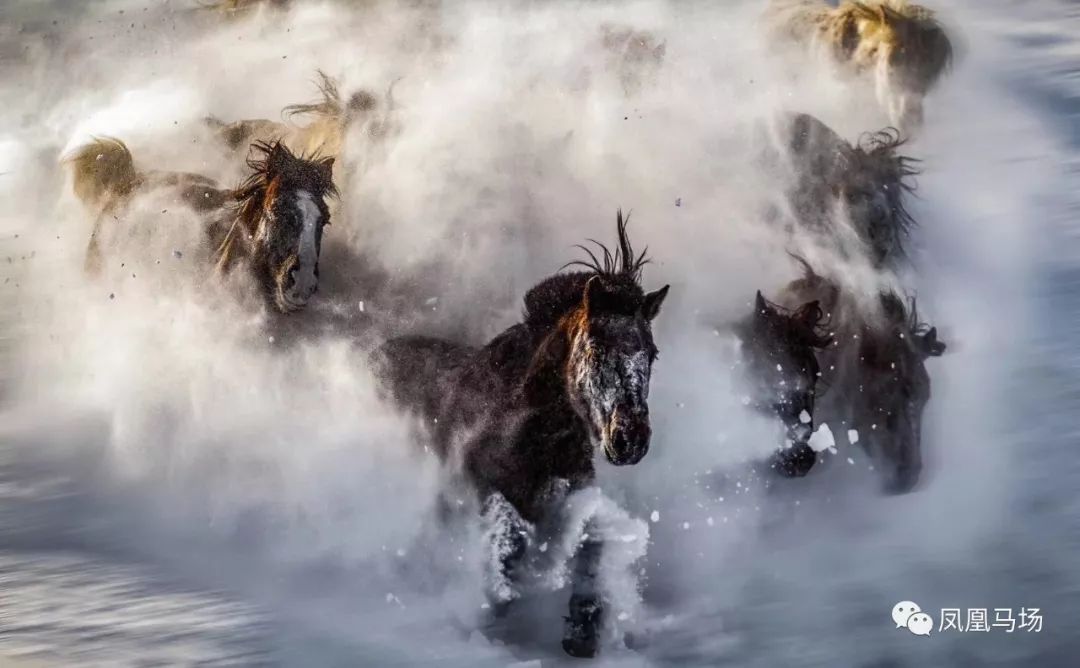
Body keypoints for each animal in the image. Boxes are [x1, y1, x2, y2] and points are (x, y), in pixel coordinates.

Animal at [375, 212, 669, 660]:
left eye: (650, 354)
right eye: (596, 348)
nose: (630, 438)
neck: (528, 425)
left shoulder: (569, 499)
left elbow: (591, 544)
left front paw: (583, 630)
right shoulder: (479, 489)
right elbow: (510, 542)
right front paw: (496, 602)